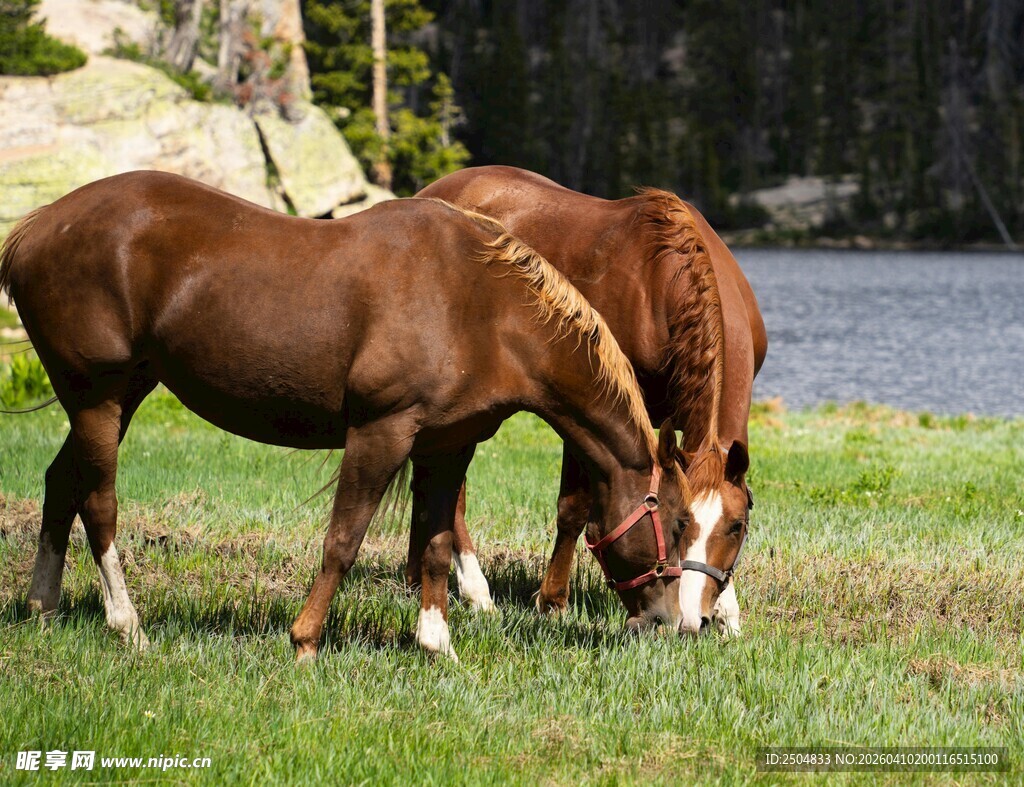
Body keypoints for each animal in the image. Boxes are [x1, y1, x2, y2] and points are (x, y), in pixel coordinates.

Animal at [0, 171, 697, 661]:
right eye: (681, 523)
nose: (671, 624)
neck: (482, 306)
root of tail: (34, 230)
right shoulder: (381, 432)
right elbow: (344, 540)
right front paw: (306, 640)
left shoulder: (445, 445)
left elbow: (437, 544)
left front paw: (437, 643)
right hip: (98, 397)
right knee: (99, 503)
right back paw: (127, 624)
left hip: (121, 395)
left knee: (62, 484)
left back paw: (43, 608)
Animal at [416, 166, 768, 635]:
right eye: (681, 525)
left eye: (735, 526)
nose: (694, 620)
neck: (662, 283)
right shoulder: (592, 412)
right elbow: (574, 508)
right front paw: (552, 601)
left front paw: (729, 612)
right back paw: (478, 593)